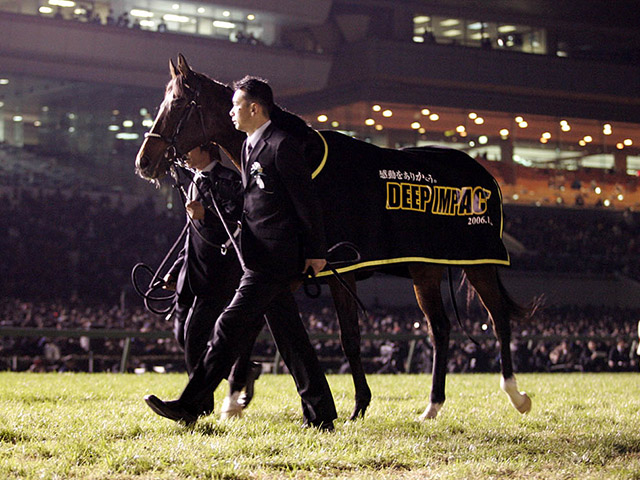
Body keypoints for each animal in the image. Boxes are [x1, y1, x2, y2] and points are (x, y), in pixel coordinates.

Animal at [136, 53, 536, 420]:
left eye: (176, 103)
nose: (144, 161)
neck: (308, 166)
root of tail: (483, 173)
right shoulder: (311, 274)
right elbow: (325, 336)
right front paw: (354, 405)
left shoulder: (325, 271)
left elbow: (299, 333)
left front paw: (235, 400)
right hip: (426, 268)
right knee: (440, 328)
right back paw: (432, 406)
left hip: (479, 262)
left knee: (498, 320)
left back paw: (516, 395)